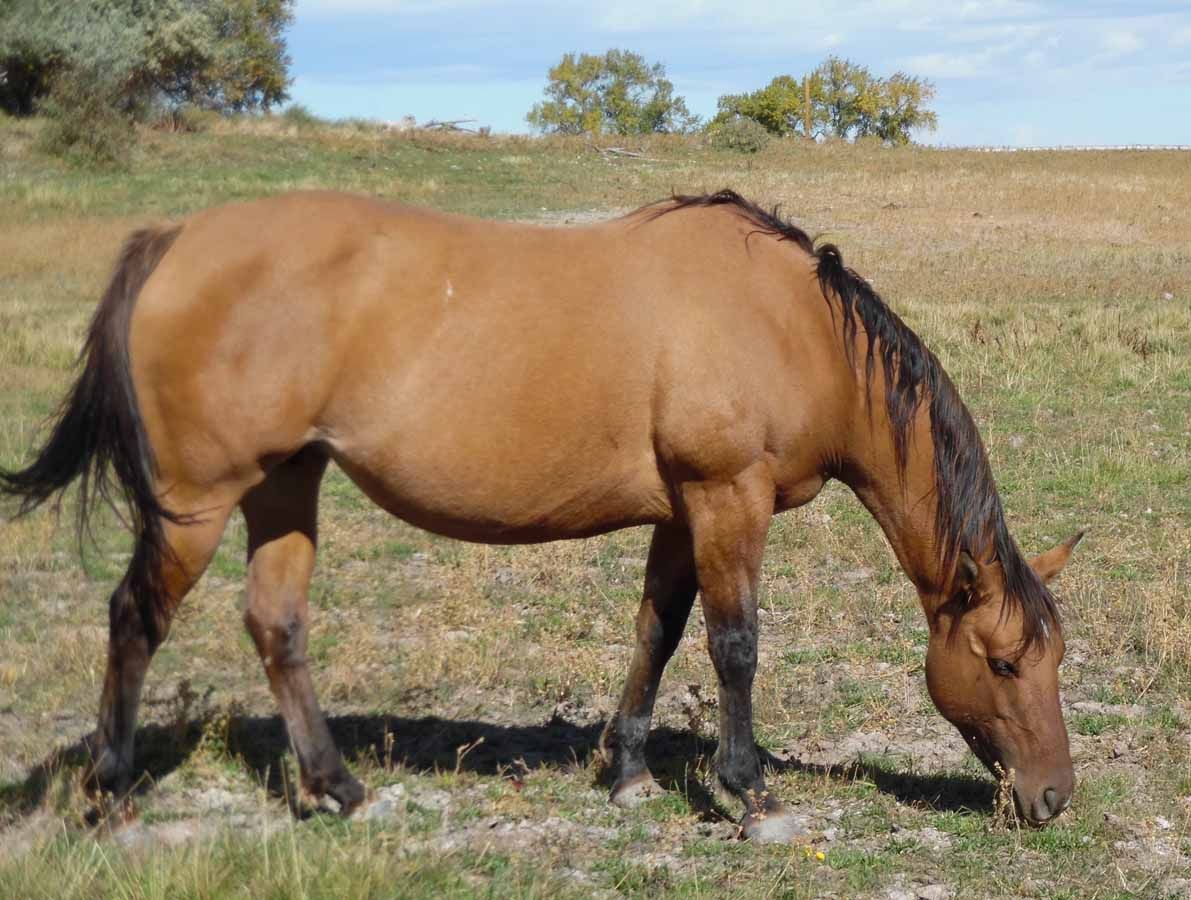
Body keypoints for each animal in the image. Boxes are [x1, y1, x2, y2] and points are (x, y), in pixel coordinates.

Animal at [1, 189, 1083, 841]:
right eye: (1001, 662)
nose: (1051, 796)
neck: (790, 327)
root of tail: (176, 240)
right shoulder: (726, 498)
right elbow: (734, 645)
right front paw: (748, 790)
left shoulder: (680, 513)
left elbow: (657, 633)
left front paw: (627, 769)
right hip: (198, 502)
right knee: (135, 620)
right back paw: (111, 792)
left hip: (285, 482)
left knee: (276, 625)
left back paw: (339, 787)